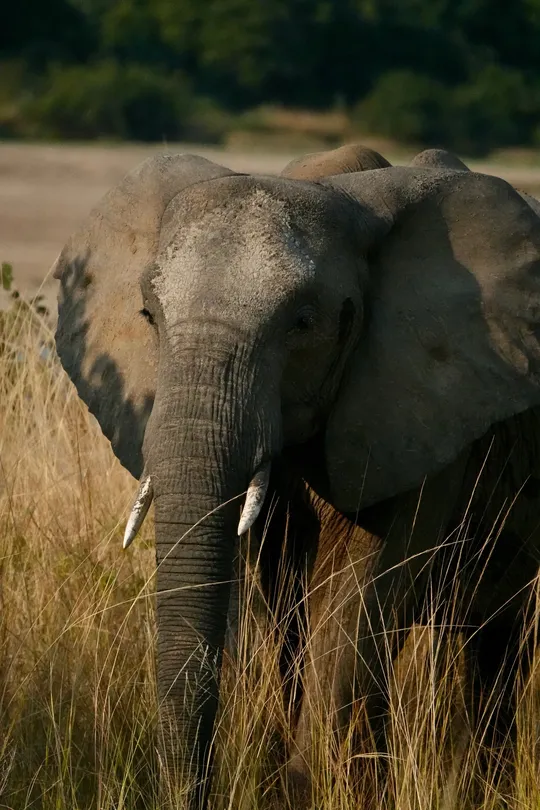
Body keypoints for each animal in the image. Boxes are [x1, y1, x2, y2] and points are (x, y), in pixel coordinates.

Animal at [52, 144, 540, 806]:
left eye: (303, 323)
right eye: (148, 315)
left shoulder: (416, 407)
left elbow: (356, 600)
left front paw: (321, 789)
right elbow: (272, 601)